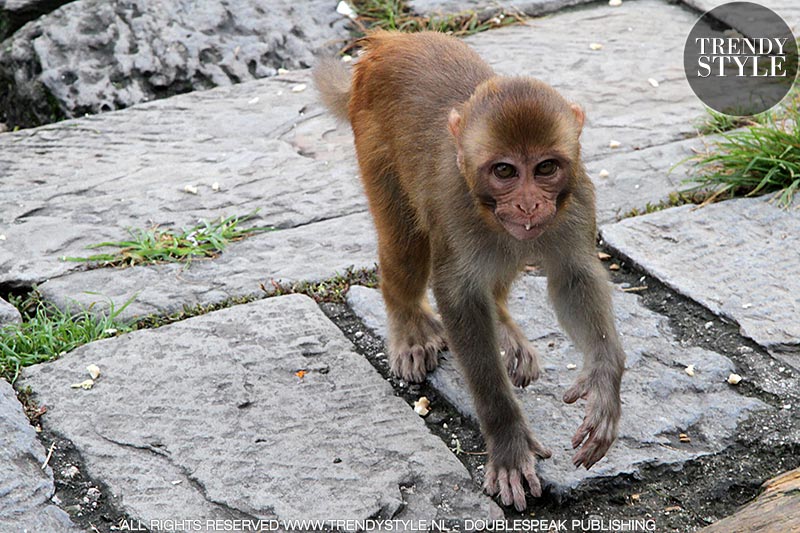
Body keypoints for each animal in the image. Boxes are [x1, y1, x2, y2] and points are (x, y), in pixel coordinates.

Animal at [312, 30, 624, 512]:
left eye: (546, 168)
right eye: (504, 171)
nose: (529, 205)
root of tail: (389, 42)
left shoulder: (577, 200)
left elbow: (575, 279)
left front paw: (604, 382)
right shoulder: (453, 205)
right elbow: (460, 301)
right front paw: (509, 443)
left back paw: (508, 331)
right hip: (373, 148)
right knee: (405, 246)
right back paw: (410, 326)